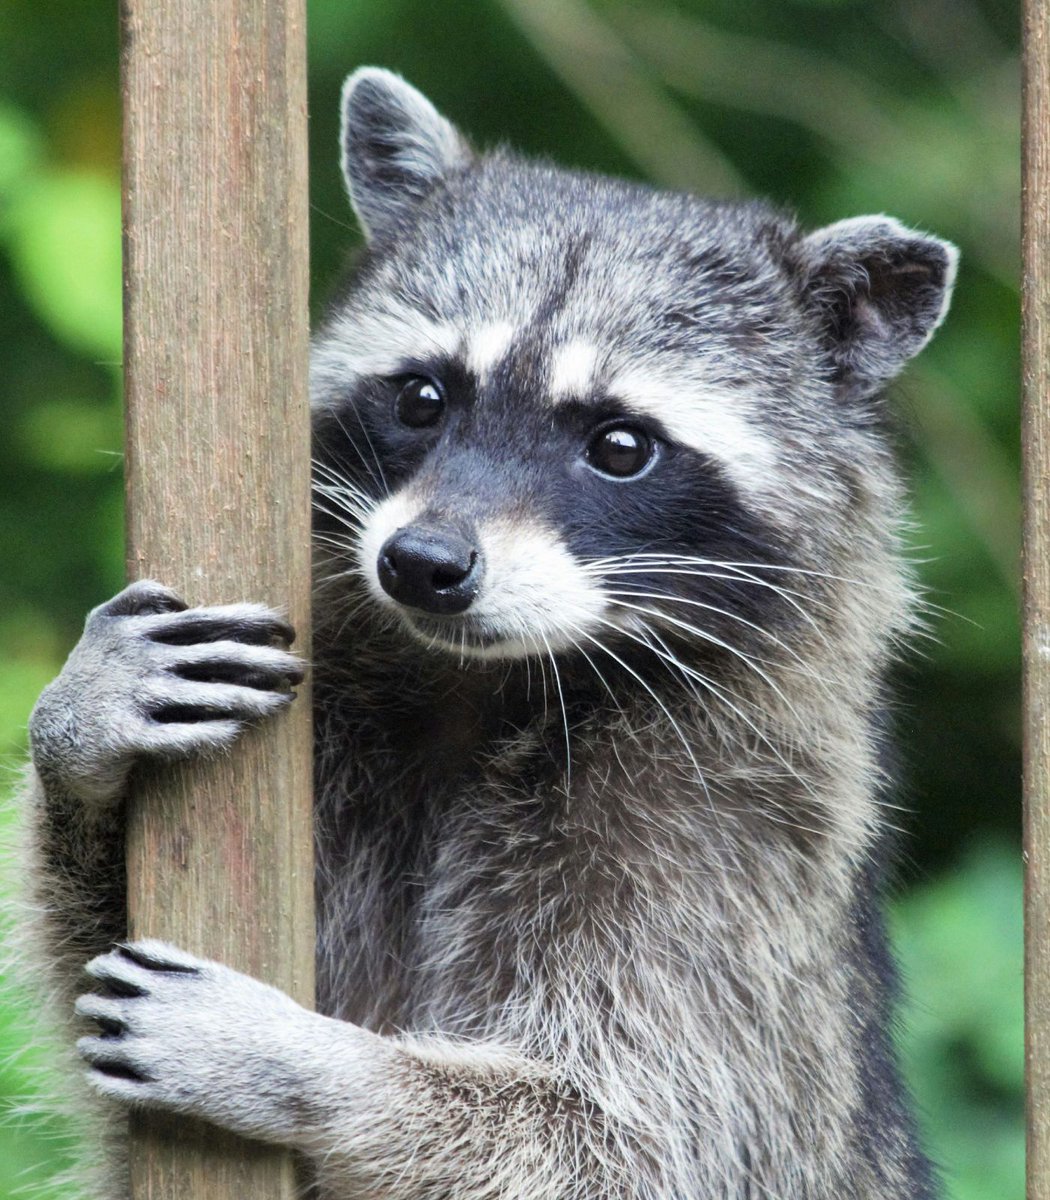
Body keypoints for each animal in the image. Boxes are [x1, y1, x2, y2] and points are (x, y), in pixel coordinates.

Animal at [24, 68, 956, 1199]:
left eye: (621, 446)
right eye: (424, 395)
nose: (422, 563)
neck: (478, 681)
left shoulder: (731, 853)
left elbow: (627, 1137)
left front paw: (313, 1064)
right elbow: (83, 977)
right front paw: (80, 738)